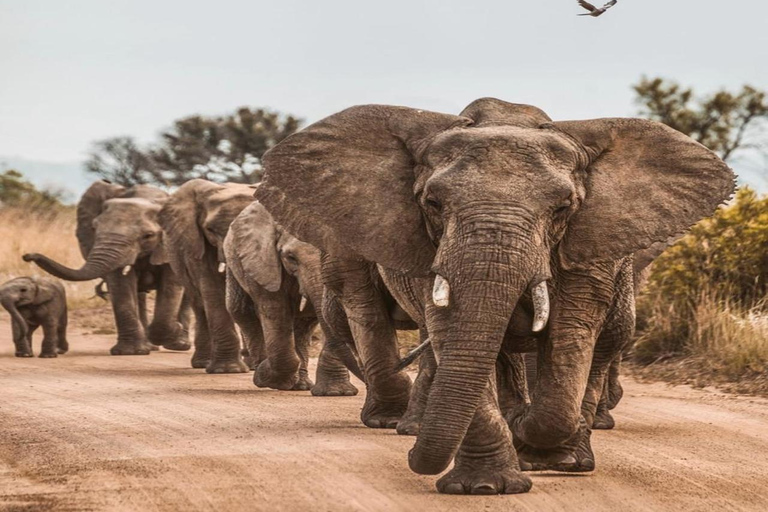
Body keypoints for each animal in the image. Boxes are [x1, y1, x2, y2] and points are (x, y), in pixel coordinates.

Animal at [23, 181, 191, 356]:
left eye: (148, 235)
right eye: (94, 228)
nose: (28, 256)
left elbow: (171, 285)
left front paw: (173, 331)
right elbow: (121, 285)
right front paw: (130, 352)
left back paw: (178, 345)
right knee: (139, 294)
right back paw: (150, 346)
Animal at [158, 179, 256, 372]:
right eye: (210, 230)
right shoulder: (195, 242)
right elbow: (212, 289)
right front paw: (227, 370)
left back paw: (251, 365)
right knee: (199, 304)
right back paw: (203, 363)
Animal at [222, 200, 364, 392]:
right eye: (291, 257)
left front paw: (337, 393)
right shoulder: (264, 260)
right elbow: (275, 310)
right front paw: (270, 378)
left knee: (304, 325)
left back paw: (300, 385)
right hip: (236, 261)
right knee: (242, 311)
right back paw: (261, 373)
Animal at [255, 98, 736, 494]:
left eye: (562, 208)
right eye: (432, 204)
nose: (411, 458)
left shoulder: (589, 245)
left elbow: (570, 339)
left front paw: (540, 448)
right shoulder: (432, 251)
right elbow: (453, 332)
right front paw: (487, 486)